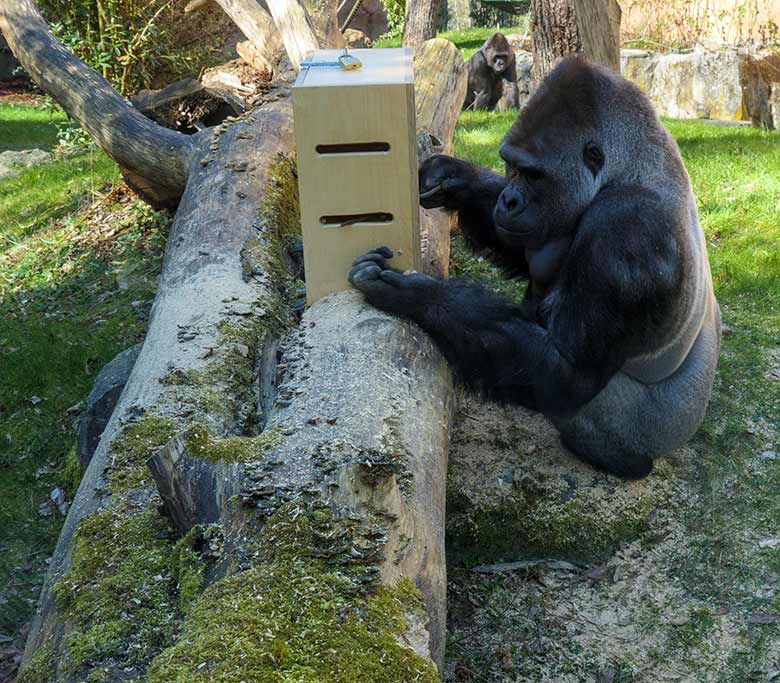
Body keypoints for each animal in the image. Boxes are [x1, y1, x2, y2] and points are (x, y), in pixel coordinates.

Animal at [350, 56, 724, 480]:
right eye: (509, 166)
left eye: (533, 174)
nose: (509, 200)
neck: (626, 170)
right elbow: (515, 248)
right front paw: (453, 178)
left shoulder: (628, 230)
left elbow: (566, 375)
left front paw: (415, 294)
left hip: (643, 435)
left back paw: (616, 458)